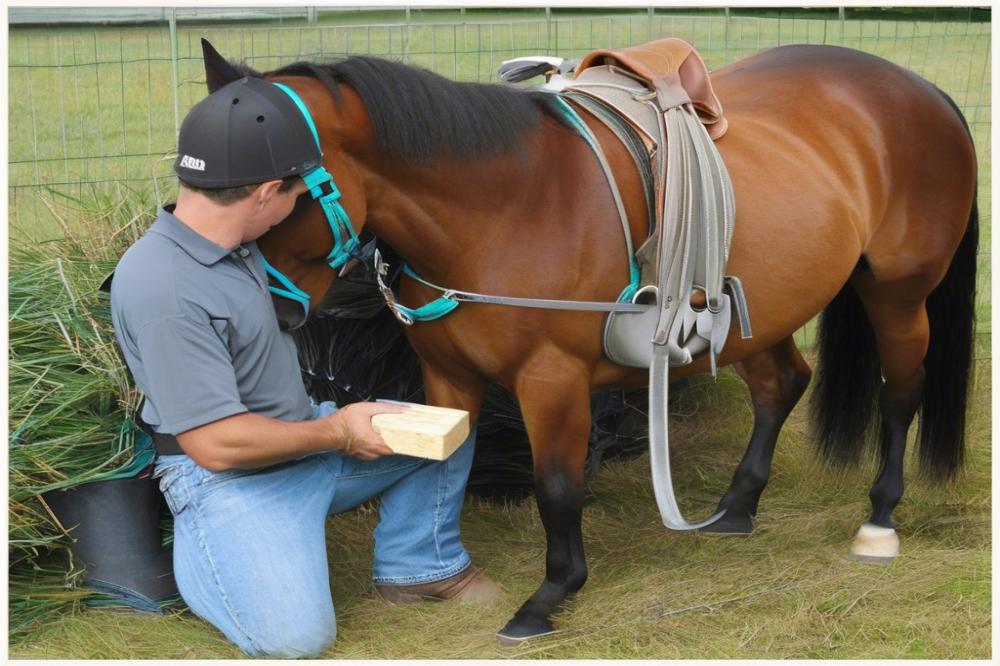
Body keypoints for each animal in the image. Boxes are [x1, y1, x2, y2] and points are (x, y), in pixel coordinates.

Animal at [197, 39, 976, 640]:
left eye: (272, 190)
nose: (261, 310)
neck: (507, 206)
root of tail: (920, 88)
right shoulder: (446, 377)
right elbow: (439, 469)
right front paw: (439, 575)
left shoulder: (553, 380)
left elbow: (558, 487)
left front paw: (550, 596)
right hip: (765, 310)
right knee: (784, 383)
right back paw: (736, 507)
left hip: (897, 293)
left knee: (900, 394)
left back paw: (879, 518)